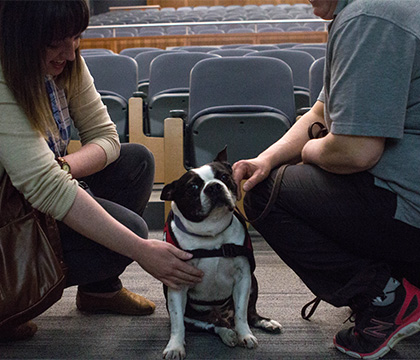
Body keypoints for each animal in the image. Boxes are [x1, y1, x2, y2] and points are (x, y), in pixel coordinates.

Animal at [161, 148, 282, 358]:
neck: (211, 233)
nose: (214, 187)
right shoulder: (177, 283)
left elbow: (241, 313)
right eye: (193, 187)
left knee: (250, 314)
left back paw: (265, 323)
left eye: (224, 177)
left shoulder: (243, 278)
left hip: (253, 282)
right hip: (194, 318)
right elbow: (177, 323)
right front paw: (175, 347)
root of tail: (221, 316)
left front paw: (245, 335)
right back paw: (227, 333)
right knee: (209, 325)